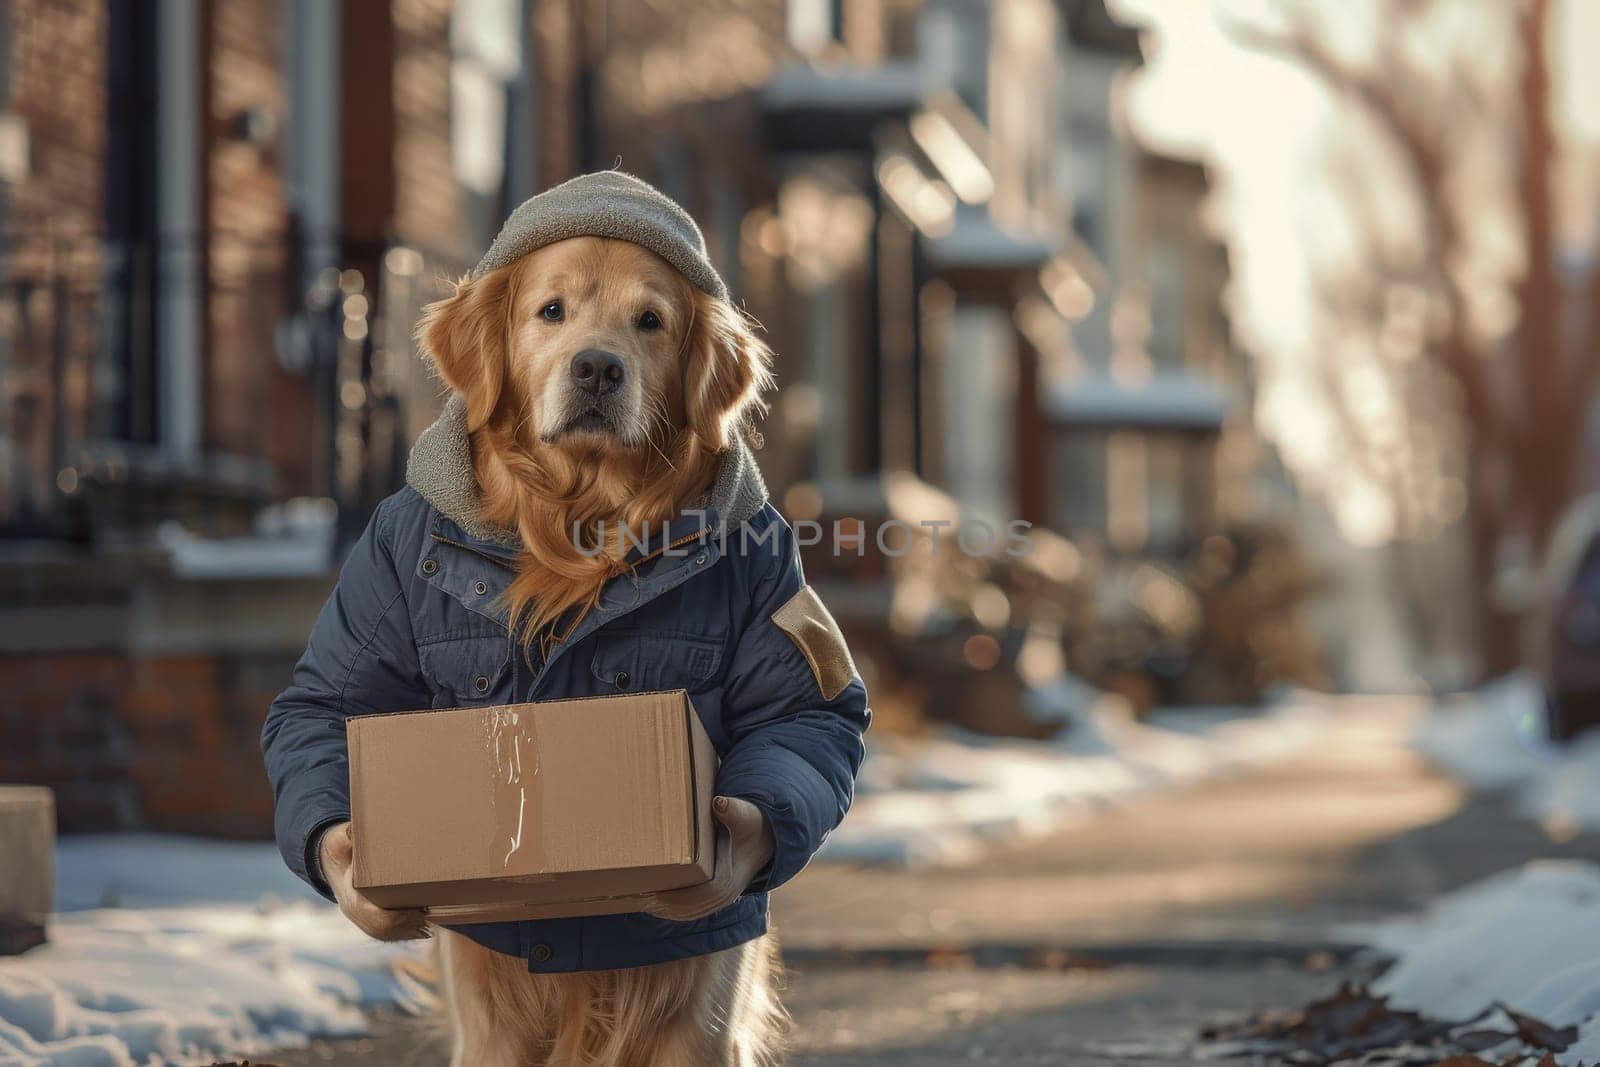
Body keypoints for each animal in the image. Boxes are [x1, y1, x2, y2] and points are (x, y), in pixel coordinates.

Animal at [412, 235, 787, 1067]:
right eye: (551, 310)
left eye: (650, 321)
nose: (597, 368)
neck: (582, 516)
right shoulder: (490, 1020)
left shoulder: (701, 1014)